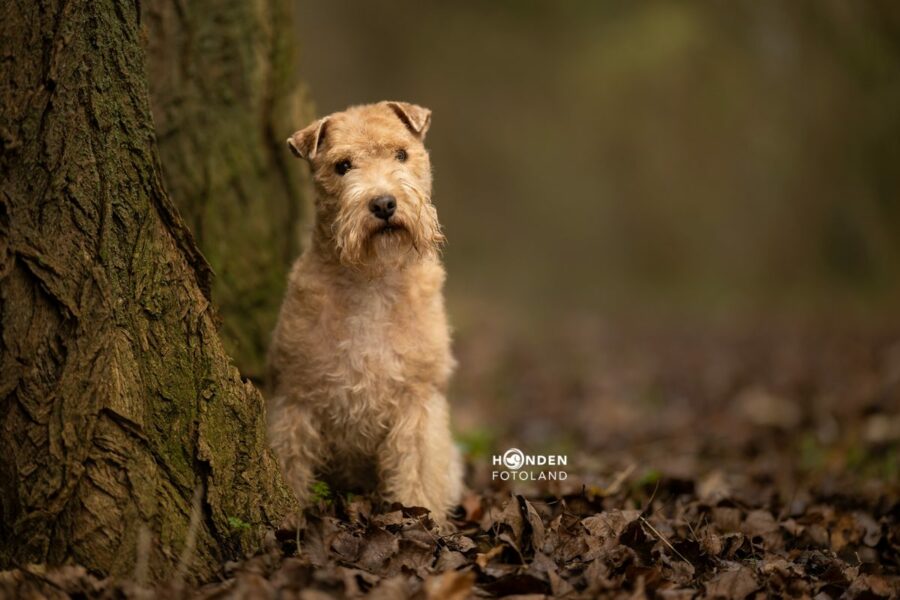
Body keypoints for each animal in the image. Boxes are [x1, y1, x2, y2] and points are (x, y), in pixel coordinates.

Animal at [266, 101, 464, 524]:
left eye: (401, 154)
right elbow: (291, 462)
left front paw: (421, 515)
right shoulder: (295, 398)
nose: (384, 204)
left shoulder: (418, 397)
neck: (373, 279)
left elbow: (418, 467)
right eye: (342, 166)